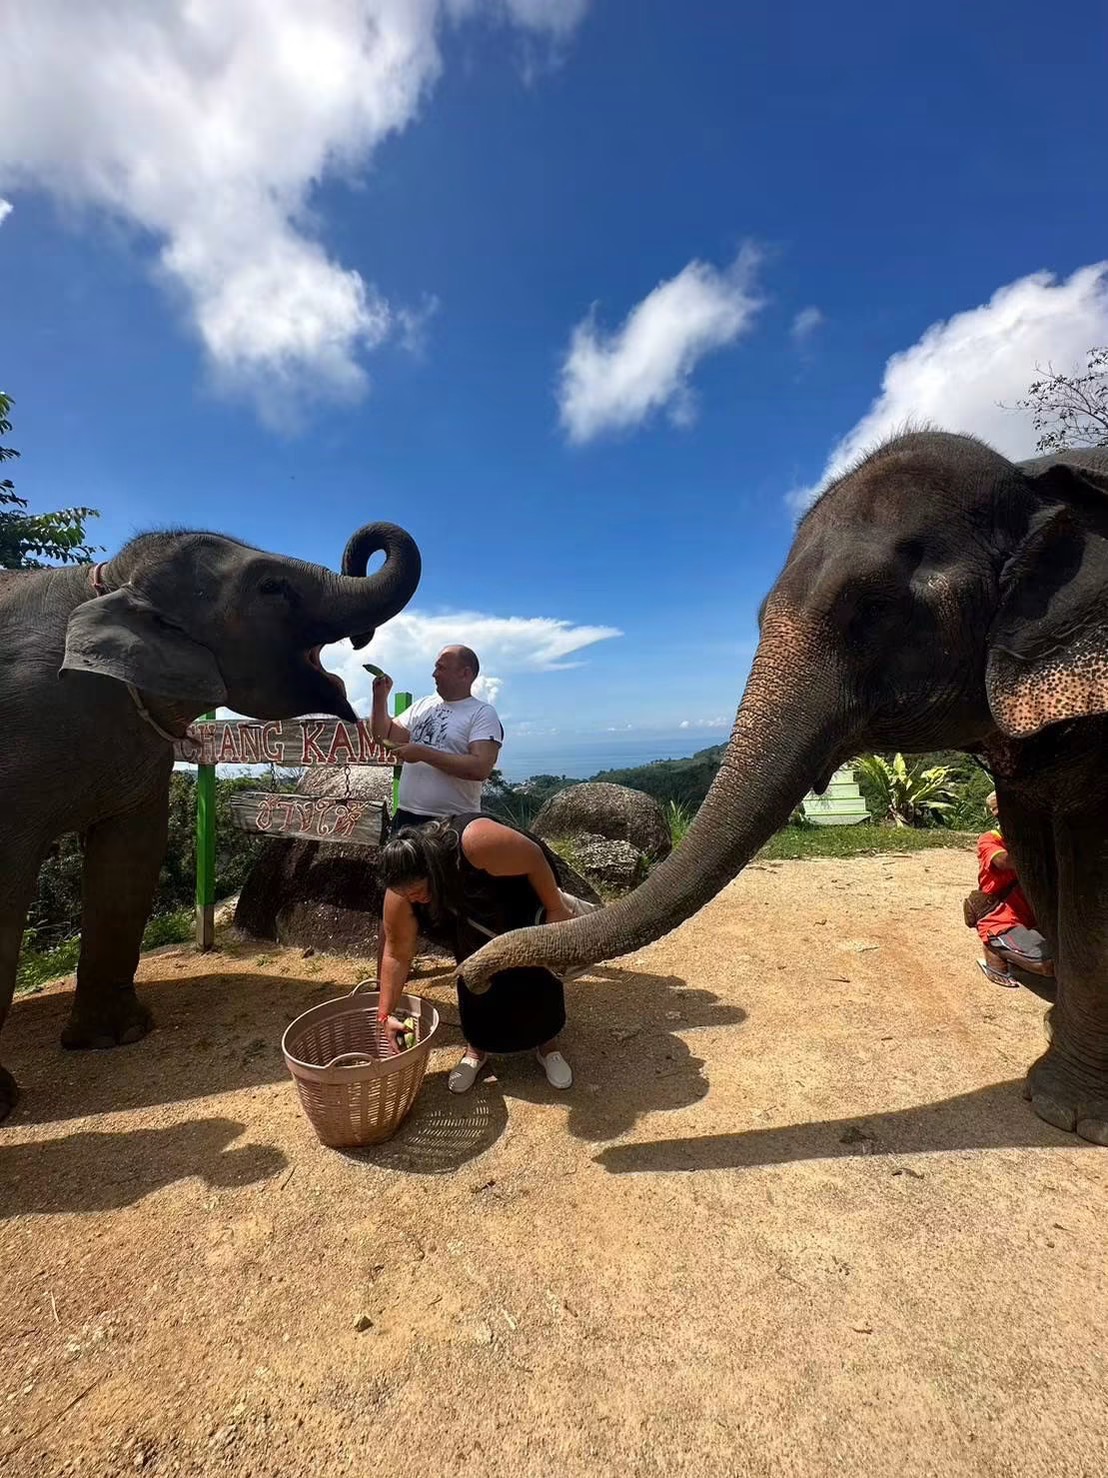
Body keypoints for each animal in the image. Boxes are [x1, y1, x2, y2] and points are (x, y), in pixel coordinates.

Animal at [0, 520, 421, 1123]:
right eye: (271, 587)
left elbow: (131, 859)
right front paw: (6, 1099)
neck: (106, 581)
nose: (368, 654)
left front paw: (116, 1039)